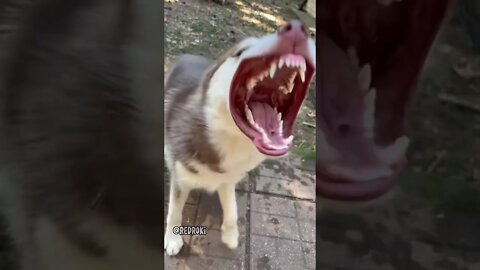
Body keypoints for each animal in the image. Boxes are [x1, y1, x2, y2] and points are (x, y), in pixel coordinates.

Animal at [163, 20, 316, 255]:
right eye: (241, 51)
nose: (297, 30)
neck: (229, 141)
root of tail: (188, 54)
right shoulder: (180, 179)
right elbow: (174, 212)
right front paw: (172, 239)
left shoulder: (228, 179)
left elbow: (233, 210)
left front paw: (231, 235)